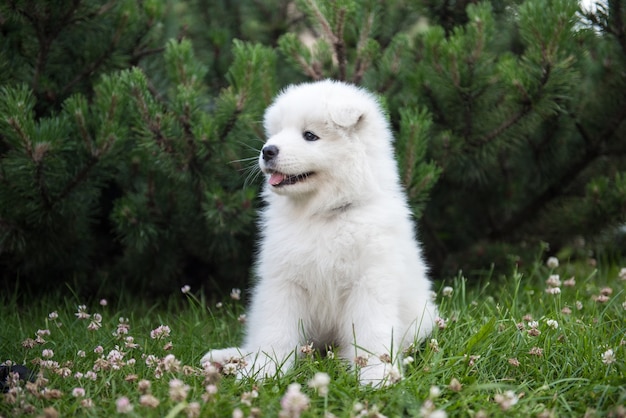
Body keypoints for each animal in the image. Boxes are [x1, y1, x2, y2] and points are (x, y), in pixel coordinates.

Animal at [202, 78, 436, 386]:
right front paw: (262, 372)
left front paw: (377, 376)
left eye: (310, 136)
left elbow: (372, 334)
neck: (323, 215)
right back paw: (226, 358)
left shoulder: (369, 282)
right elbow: (275, 333)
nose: (267, 150)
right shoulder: (284, 283)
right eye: (278, 132)